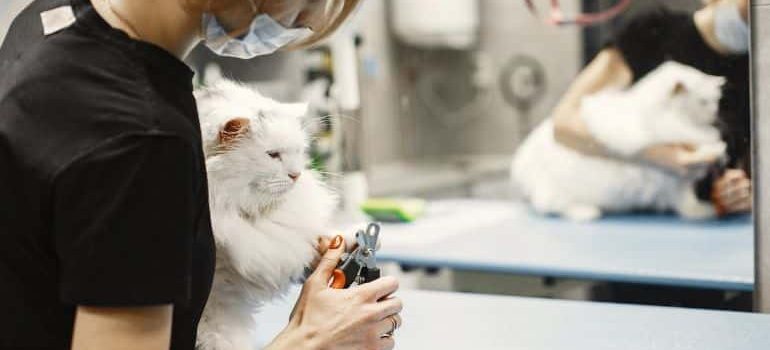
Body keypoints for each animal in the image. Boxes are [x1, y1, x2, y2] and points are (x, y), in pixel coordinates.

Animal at [510, 61, 728, 221]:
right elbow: (685, 196)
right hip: (559, 191)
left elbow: (688, 198)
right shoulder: (672, 173)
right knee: (553, 206)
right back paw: (587, 213)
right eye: (703, 102)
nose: (714, 113)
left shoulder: (680, 181)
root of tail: (522, 161)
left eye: (715, 101)